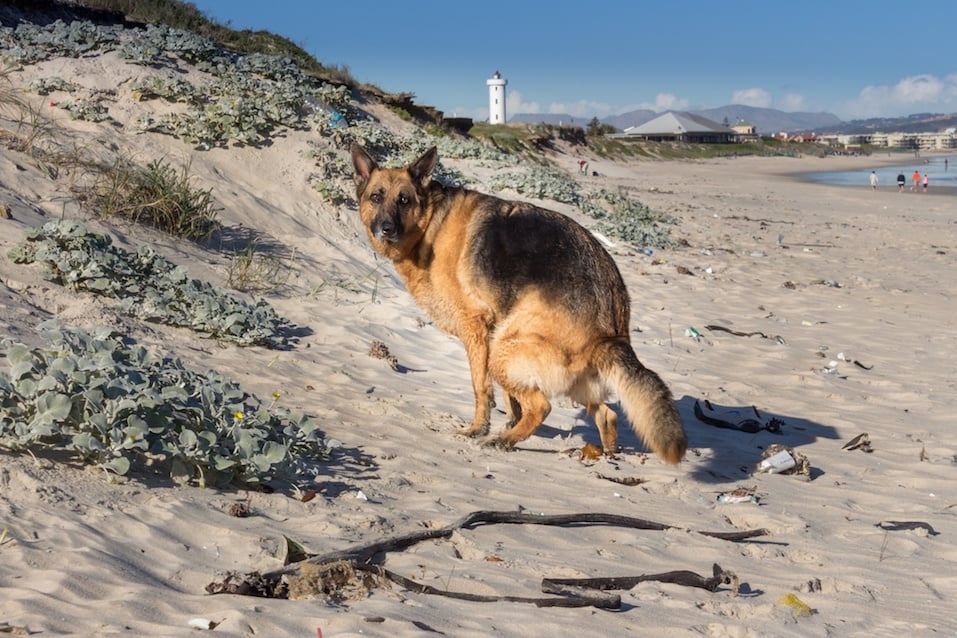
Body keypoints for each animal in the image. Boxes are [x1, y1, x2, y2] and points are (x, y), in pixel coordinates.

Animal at [352, 145, 688, 464]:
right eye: (376, 197)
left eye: (404, 200)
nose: (386, 228)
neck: (432, 223)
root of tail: (612, 330)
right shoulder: (491, 332)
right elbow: (508, 398)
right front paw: (507, 420)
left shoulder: (477, 331)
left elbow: (481, 389)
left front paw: (479, 429)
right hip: (562, 373)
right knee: (607, 414)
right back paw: (602, 453)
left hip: (504, 352)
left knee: (542, 406)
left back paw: (503, 441)